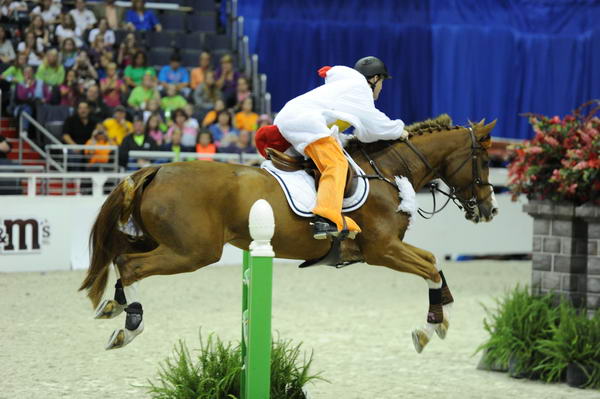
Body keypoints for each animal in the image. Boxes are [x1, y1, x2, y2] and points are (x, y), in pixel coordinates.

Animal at [82, 116, 500, 354]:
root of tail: (156, 170)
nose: (490, 209)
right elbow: (429, 266)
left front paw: (440, 314)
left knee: (122, 258)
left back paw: (115, 304)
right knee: (129, 264)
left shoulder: (389, 248)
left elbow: (432, 264)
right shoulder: (382, 249)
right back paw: (129, 326)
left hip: (164, 241)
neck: (386, 172)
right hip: (193, 252)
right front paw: (429, 328)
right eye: (485, 160)